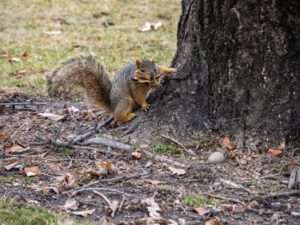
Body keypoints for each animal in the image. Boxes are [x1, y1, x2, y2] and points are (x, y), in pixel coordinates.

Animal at [47, 55, 176, 124]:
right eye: (142, 70)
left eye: (154, 69)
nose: (153, 78)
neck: (145, 83)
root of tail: (112, 107)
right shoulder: (134, 86)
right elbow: (138, 96)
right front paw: (144, 104)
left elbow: (162, 68)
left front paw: (171, 69)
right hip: (125, 101)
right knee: (119, 117)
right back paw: (128, 116)